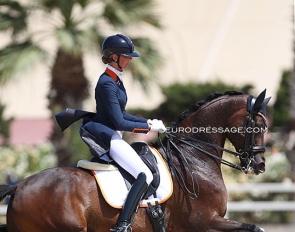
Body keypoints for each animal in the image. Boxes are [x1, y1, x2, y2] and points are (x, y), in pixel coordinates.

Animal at [0, 90, 272, 232]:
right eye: (257, 126)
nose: (259, 164)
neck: (194, 159)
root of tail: (19, 185)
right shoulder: (205, 222)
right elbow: (256, 228)